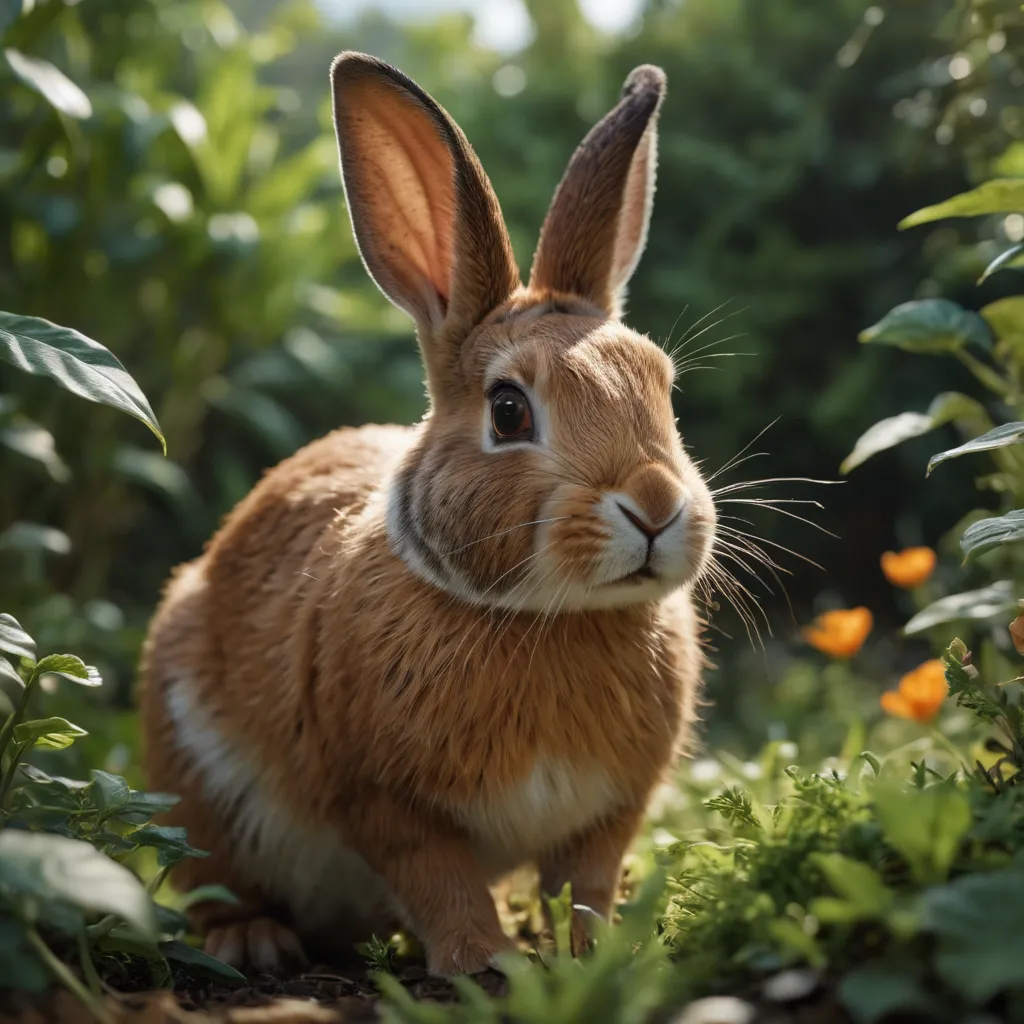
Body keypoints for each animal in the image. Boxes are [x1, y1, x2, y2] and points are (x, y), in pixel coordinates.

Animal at [138, 51, 718, 978]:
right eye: (509, 411)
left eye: (662, 388)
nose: (659, 507)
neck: (544, 616)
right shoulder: (385, 800)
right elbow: (439, 874)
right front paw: (485, 963)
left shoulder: (608, 812)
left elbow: (585, 880)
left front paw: (596, 955)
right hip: (194, 784)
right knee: (214, 879)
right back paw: (254, 940)